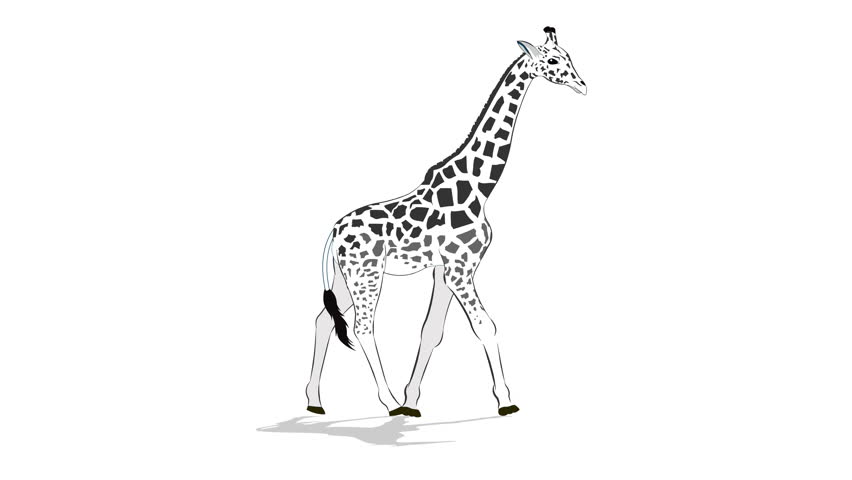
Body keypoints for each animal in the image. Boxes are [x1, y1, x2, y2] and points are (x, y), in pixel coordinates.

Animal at [305, 27, 586, 417]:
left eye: (570, 57)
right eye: (555, 60)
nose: (582, 85)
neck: (480, 187)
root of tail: (333, 232)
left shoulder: (445, 269)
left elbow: (432, 330)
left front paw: (412, 400)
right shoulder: (460, 268)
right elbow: (485, 326)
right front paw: (505, 401)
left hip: (346, 277)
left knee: (323, 319)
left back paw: (315, 401)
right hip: (367, 274)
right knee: (362, 327)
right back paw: (387, 402)